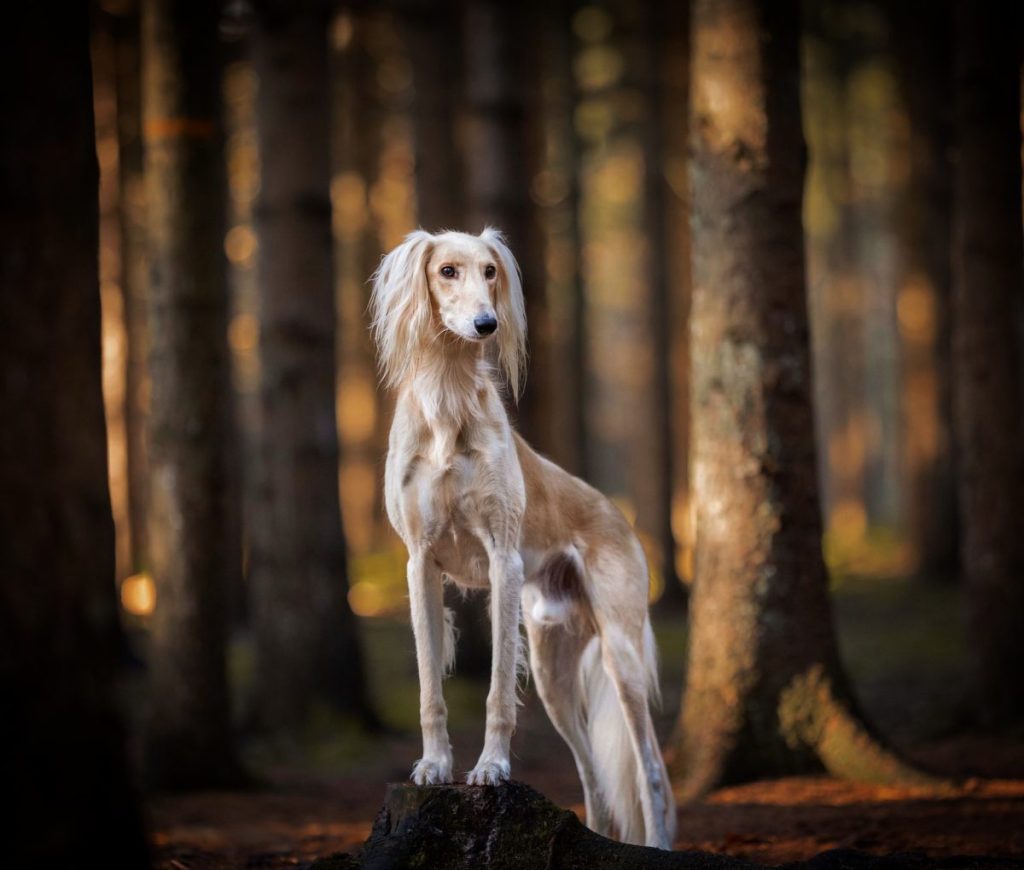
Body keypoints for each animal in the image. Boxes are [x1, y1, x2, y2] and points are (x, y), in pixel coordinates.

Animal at [372, 227, 675, 843]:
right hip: (552, 665)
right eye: (446, 270)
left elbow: (495, 692)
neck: (449, 400)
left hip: (622, 650)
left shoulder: (502, 559)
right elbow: (429, 686)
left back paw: (659, 843)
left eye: (490, 271)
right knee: (592, 774)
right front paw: (435, 764)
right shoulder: (420, 564)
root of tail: (618, 514)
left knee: (651, 769)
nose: (486, 324)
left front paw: (490, 767)